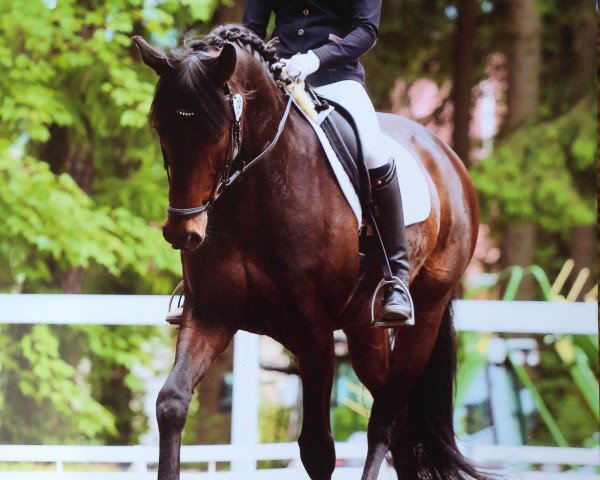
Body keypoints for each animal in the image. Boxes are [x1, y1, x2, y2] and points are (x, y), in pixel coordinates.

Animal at [132, 25, 488, 480]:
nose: (183, 231)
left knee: (387, 421)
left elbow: (317, 447)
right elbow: (171, 404)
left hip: (425, 314)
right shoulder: (211, 314)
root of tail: (446, 156)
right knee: (402, 422)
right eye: (163, 131)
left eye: (217, 132)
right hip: (362, 329)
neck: (255, 195)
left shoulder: (314, 334)